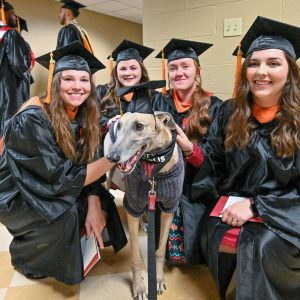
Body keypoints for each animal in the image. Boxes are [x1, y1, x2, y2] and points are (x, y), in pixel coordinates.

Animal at [104, 111, 184, 298]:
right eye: (119, 127)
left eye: (139, 126)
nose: (112, 157)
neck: (155, 167)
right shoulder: (134, 203)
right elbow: (135, 258)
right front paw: (139, 287)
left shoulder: (169, 209)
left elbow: (160, 250)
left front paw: (159, 279)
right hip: (111, 174)